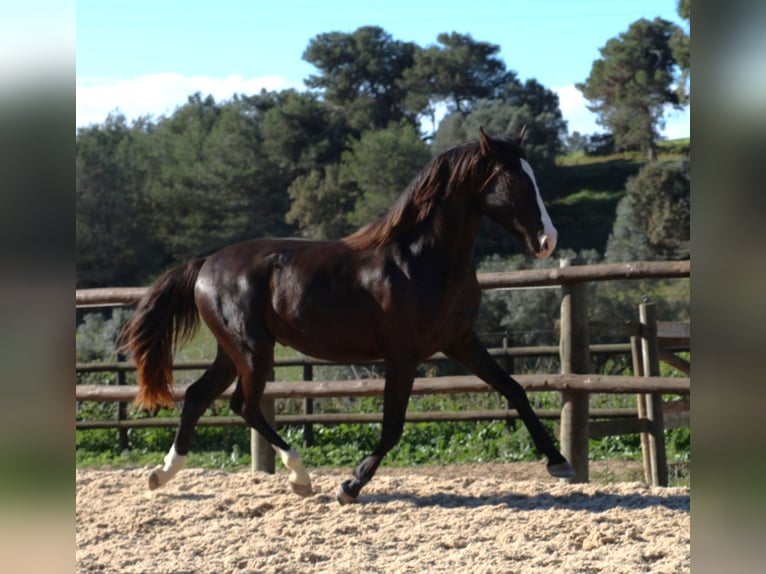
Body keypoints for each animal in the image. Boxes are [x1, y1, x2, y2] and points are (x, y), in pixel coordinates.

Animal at [121, 128, 576, 506]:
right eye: (515, 180)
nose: (548, 240)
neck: (422, 261)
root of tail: (206, 263)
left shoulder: (461, 342)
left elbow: (514, 389)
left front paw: (559, 462)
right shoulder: (402, 357)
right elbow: (393, 425)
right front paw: (350, 485)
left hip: (230, 352)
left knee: (199, 396)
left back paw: (161, 475)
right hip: (252, 350)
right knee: (244, 406)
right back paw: (301, 478)